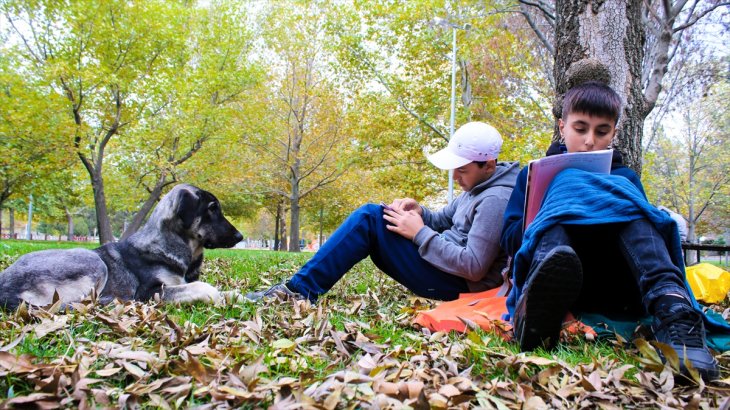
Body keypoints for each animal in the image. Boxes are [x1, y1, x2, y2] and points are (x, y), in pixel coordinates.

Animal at [0, 184, 245, 310]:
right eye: (212, 208)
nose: (240, 236)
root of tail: (4, 288)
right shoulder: (148, 292)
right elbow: (203, 287)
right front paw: (217, 297)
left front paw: (237, 297)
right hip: (93, 261)